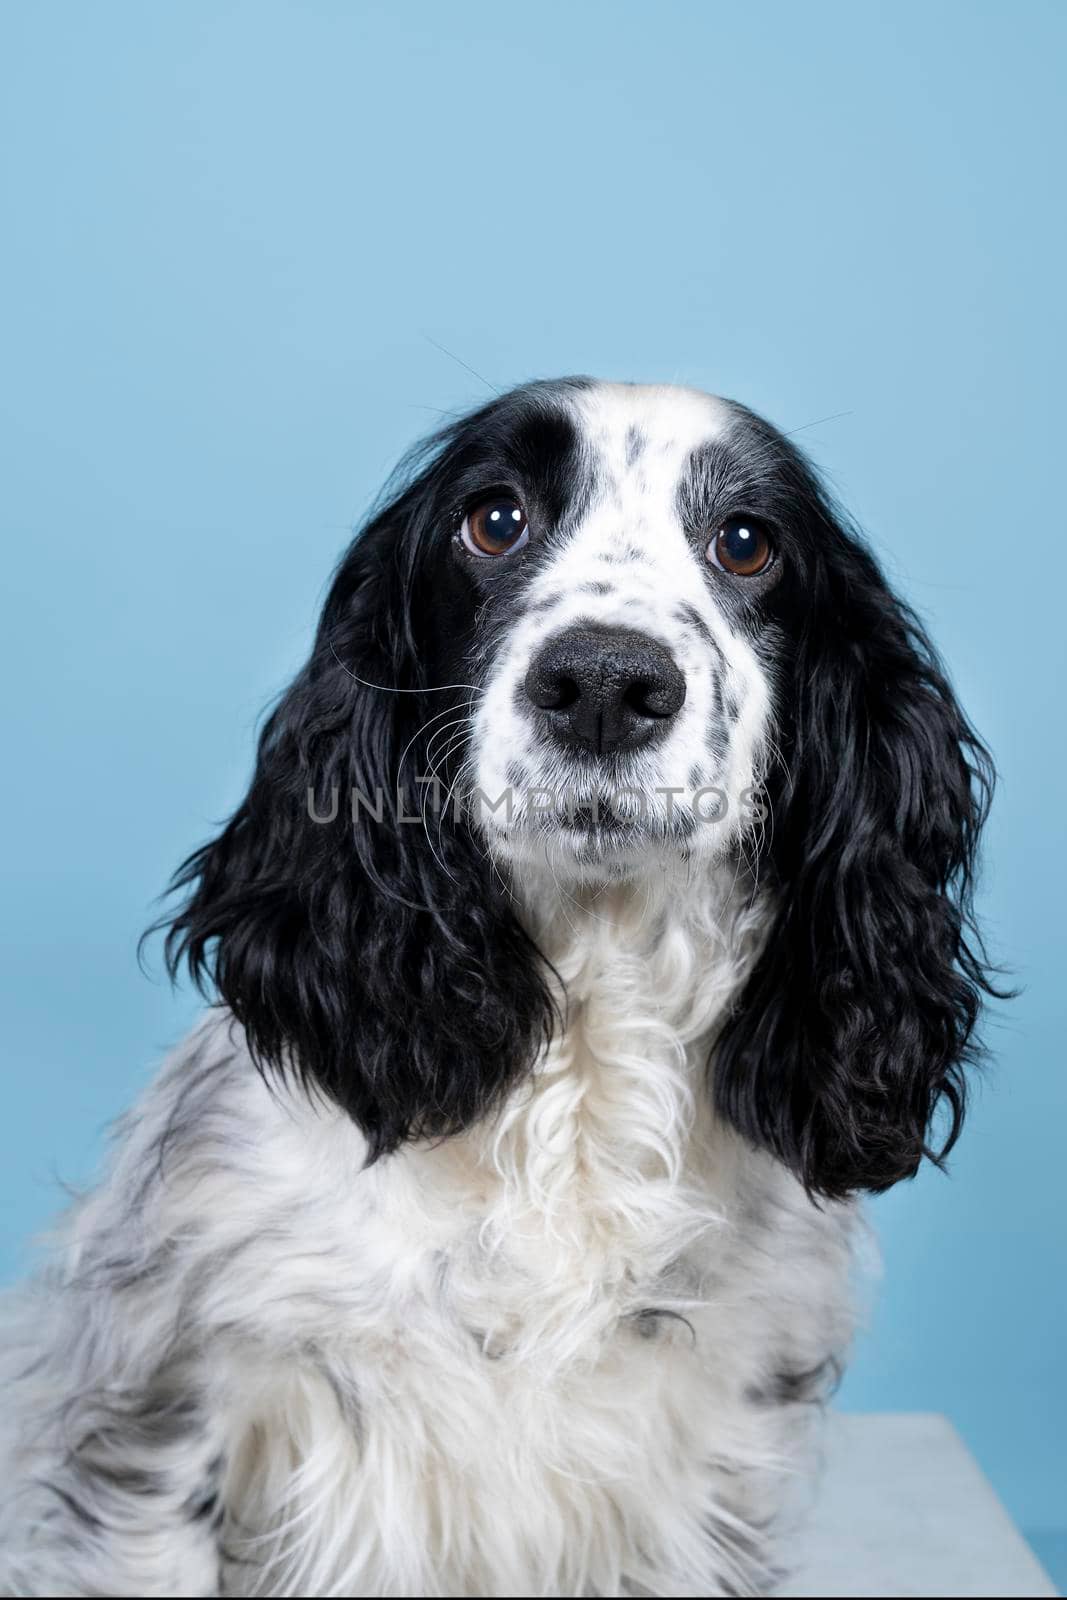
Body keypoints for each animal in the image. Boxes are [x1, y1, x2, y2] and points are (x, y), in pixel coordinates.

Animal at [2, 380, 991, 1593]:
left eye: (746, 542)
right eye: (495, 519)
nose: (604, 683)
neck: (580, 1060)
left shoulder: (710, 1452)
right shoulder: (160, 1415)